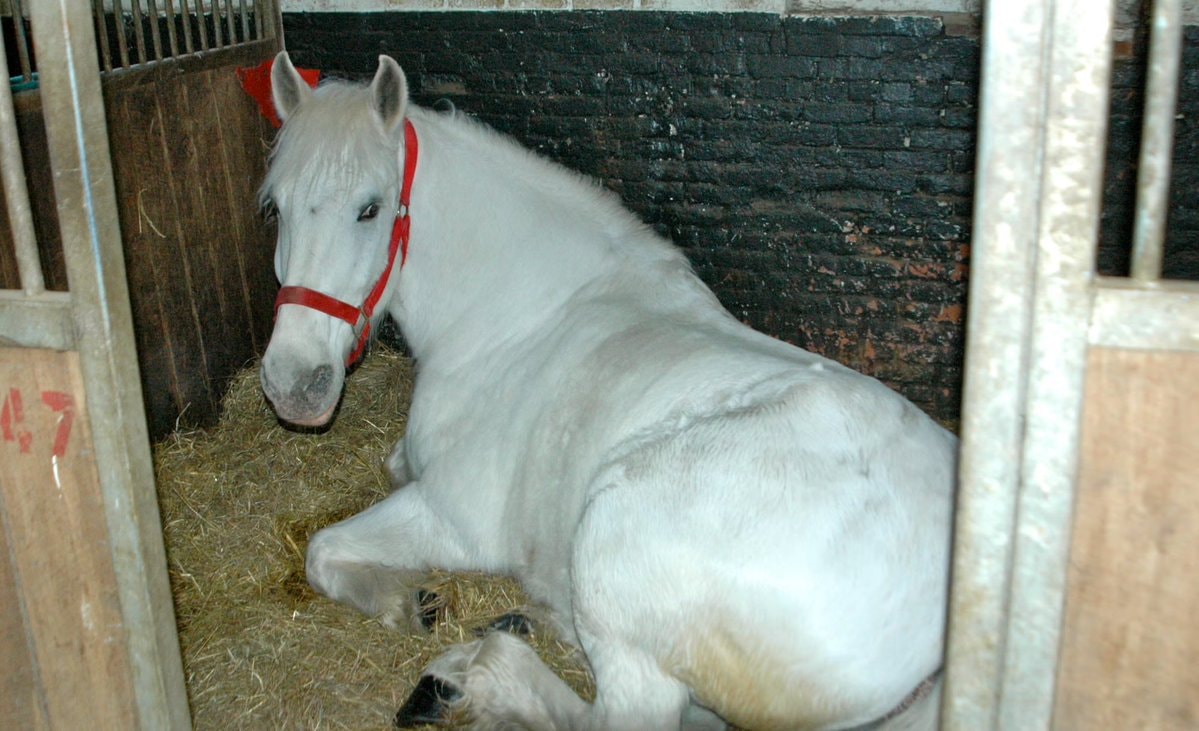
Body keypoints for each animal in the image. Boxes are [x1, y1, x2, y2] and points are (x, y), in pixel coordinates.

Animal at [258, 51, 956, 731]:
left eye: (370, 209)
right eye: (277, 207)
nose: (294, 384)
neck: (521, 316)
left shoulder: (452, 517)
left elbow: (321, 551)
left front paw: (407, 601)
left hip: (615, 533)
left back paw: (468, 678)